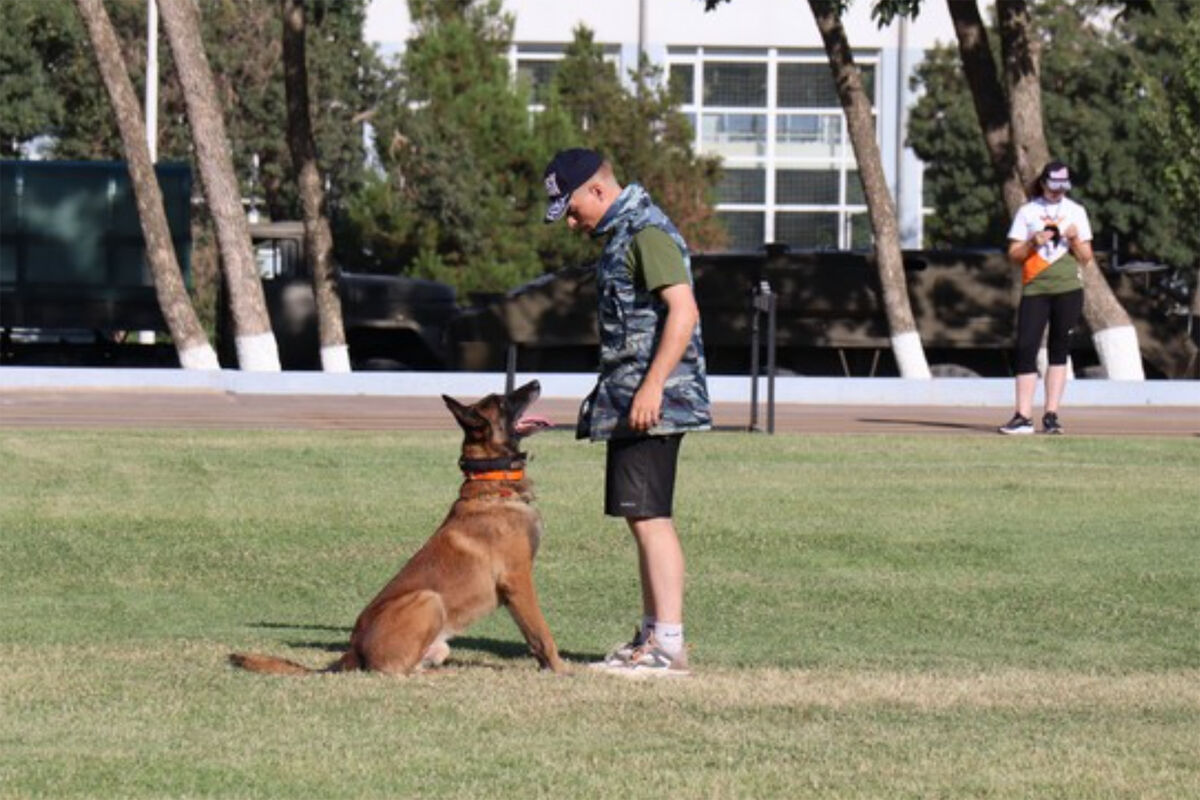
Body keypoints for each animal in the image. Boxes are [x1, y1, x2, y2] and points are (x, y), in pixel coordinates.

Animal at [229, 381, 566, 676]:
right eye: (502, 401)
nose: (536, 382)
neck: (492, 482)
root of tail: (353, 650)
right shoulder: (517, 580)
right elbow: (542, 634)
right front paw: (562, 670)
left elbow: (533, 637)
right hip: (428, 600)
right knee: (397, 671)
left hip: (438, 644)